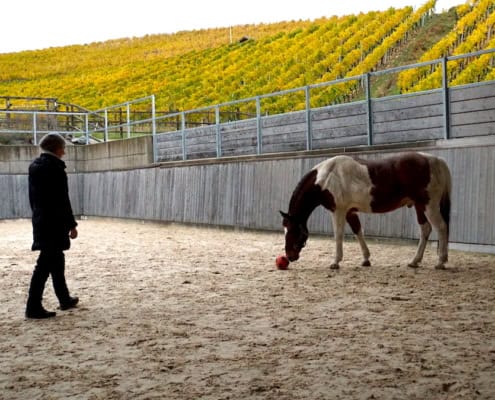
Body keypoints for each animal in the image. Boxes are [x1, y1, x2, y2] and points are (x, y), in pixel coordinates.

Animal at [280, 152, 452, 270]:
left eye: (293, 231)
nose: (289, 256)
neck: (326, 177)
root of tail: (435, 160)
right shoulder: (350, 212)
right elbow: (358, 231)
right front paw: (366, 259)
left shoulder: (338, 211)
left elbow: (338, 235)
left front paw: (335, 262)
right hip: (419, 206)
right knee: (426, 229)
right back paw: (414, 261)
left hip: (429, 206)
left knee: (441, 227)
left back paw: (440, 262)